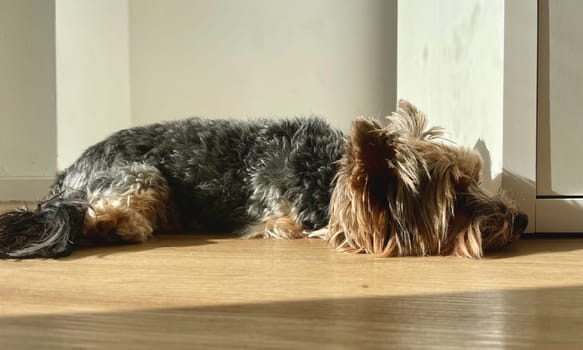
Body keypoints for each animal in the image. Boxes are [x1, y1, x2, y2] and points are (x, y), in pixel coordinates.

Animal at [0, 100, 528, 258]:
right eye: (458, 197)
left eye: (477, 179)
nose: (522, 219)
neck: (325, 176)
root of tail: (65, 178)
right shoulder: (280, 221)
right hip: (142, 175)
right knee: (100, 215)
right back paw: (123, 227)